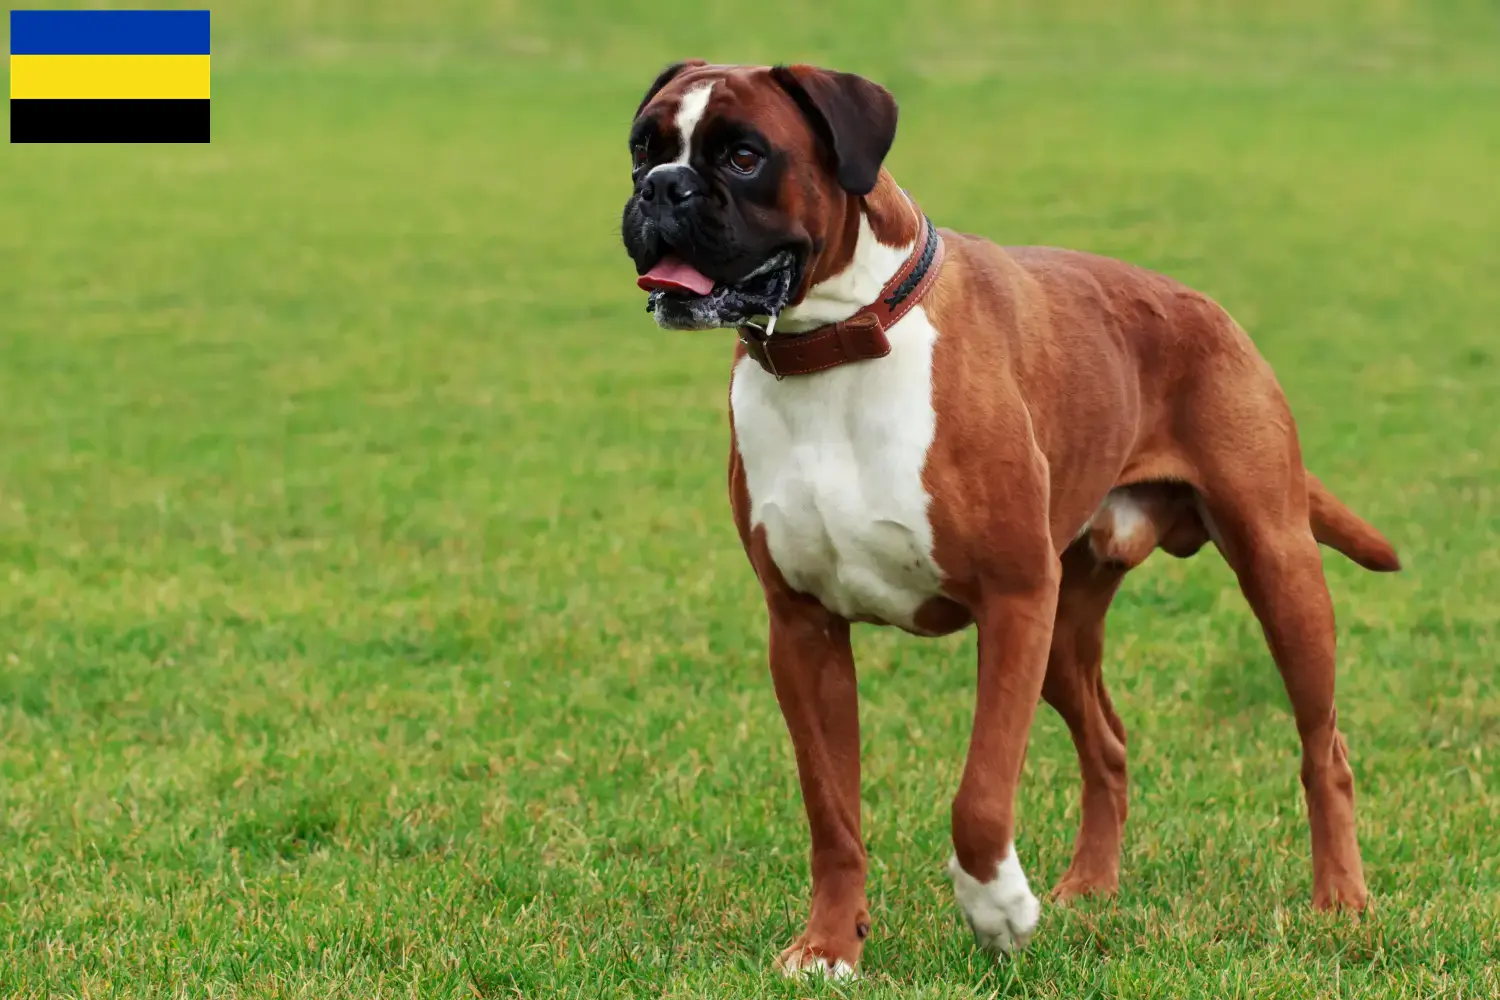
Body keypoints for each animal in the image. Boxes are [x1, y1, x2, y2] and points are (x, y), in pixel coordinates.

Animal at [615, 60, 1398, 977]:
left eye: (744, 155)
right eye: (643, 148)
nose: (659, 189)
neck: (838, 345)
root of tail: (1207, 307)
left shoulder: (1015, 600)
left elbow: (981, 795)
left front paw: (999, 911)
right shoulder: (803, 630)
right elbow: (831, 811)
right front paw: (829, 947)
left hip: (1276, 574)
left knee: (1324, 750)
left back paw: (1341, 901)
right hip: (1066, 634)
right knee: (1109, 747)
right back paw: (1089, 888)